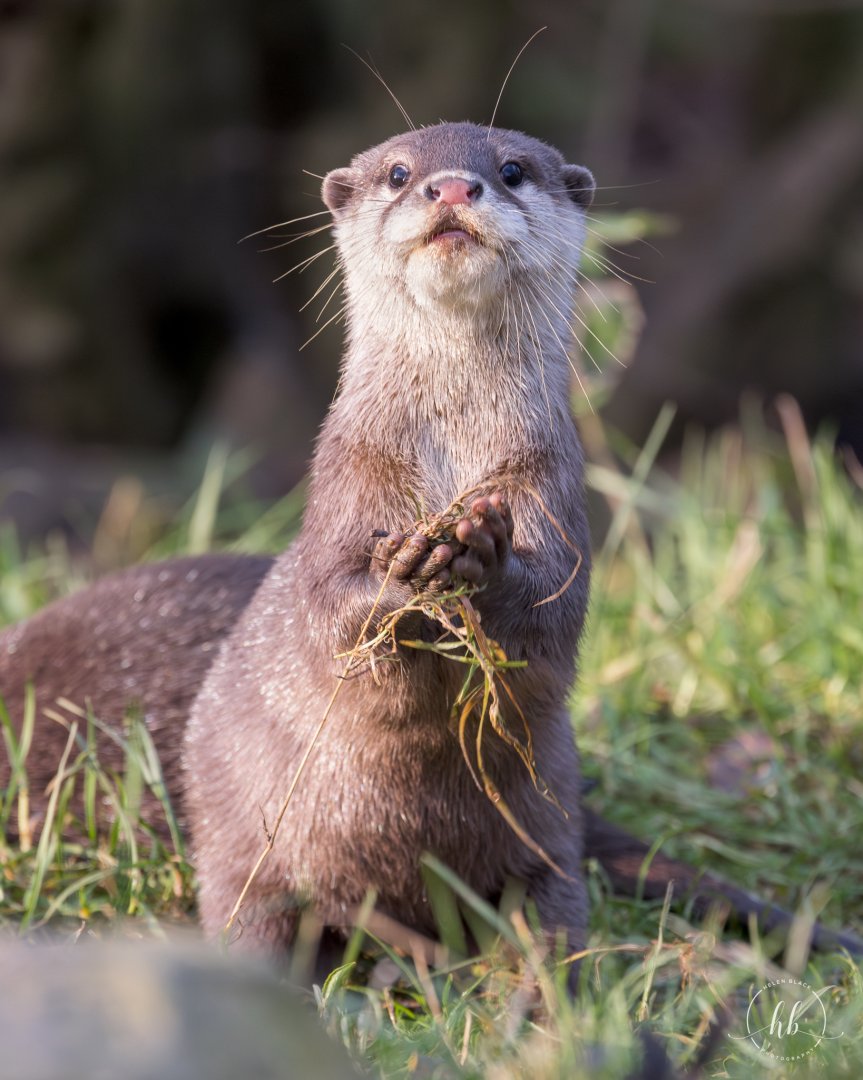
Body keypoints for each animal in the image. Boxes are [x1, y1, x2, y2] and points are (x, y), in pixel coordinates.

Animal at [0, 122, 859, 968]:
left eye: (512, 169)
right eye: (398, 172)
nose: (450, 187)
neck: (448, 442)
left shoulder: (550, 482)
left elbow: (553, 601)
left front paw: (482, 553)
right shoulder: (347, 478)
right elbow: (331, 604)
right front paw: (406, 573)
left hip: (543, 833)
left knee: (551, 913)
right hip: (243, 847)